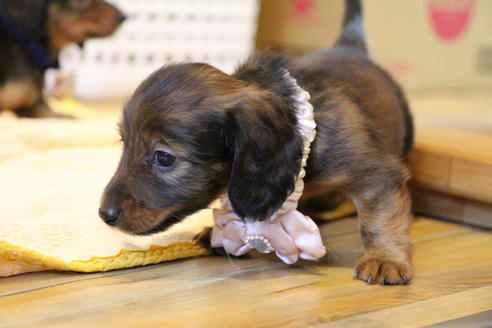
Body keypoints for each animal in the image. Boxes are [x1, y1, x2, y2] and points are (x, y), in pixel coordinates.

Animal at [98, 0, 414, 284]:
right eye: (125, 143)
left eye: (164, 158)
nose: (104, 214)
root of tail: (348, 45)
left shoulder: (376, 174)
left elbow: (377, 221)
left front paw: (385, 258)